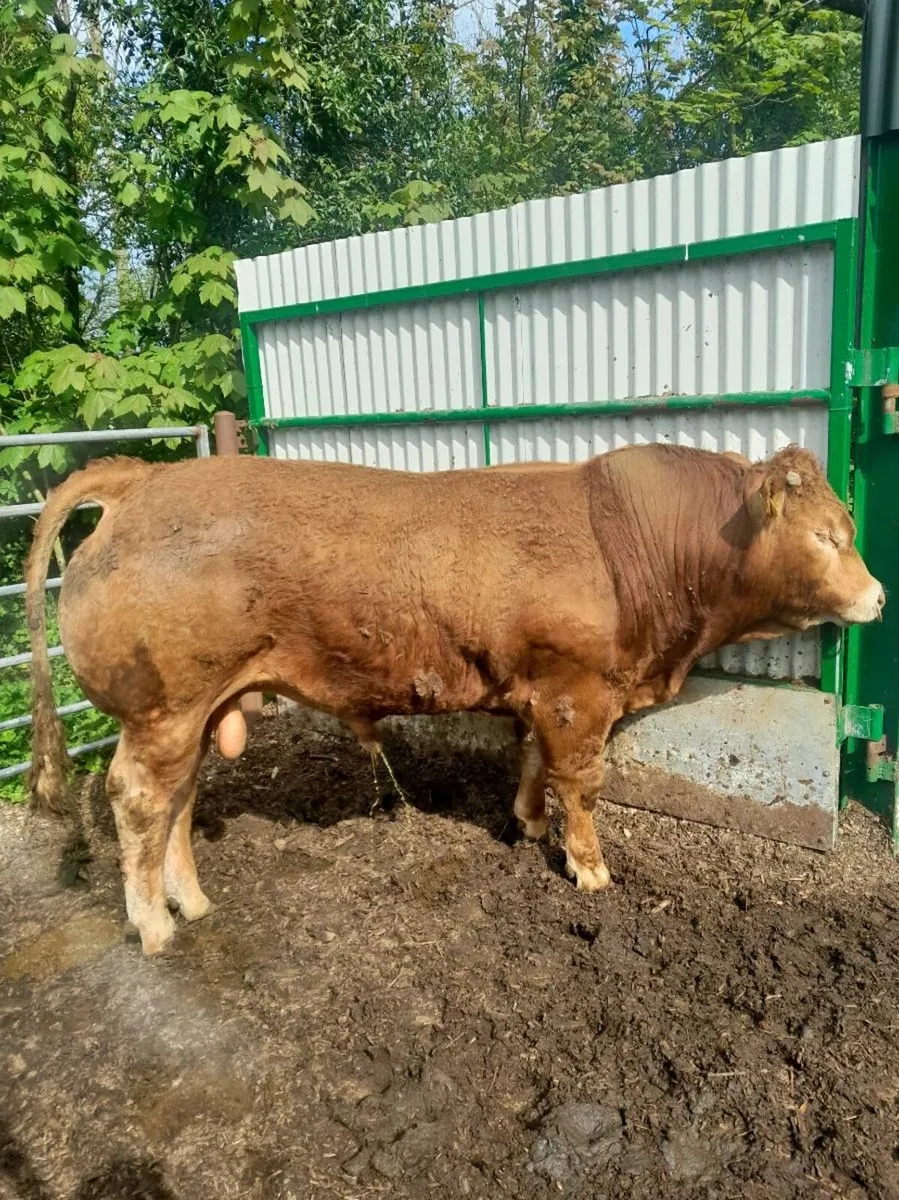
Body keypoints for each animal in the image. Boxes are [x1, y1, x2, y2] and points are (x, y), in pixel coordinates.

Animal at [26, 444, 883, 955]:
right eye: (825, 537)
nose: (876, 596)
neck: (628, 545)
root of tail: (144, 478)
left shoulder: (543, 692)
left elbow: (533, 765)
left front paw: (527, 824)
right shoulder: (578, 695)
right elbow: (581, 785)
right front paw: (590, 870)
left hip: (198, 711)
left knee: (178, 800)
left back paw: (191, 902)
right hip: (164, 708)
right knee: (139, 799)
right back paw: (151, 924)